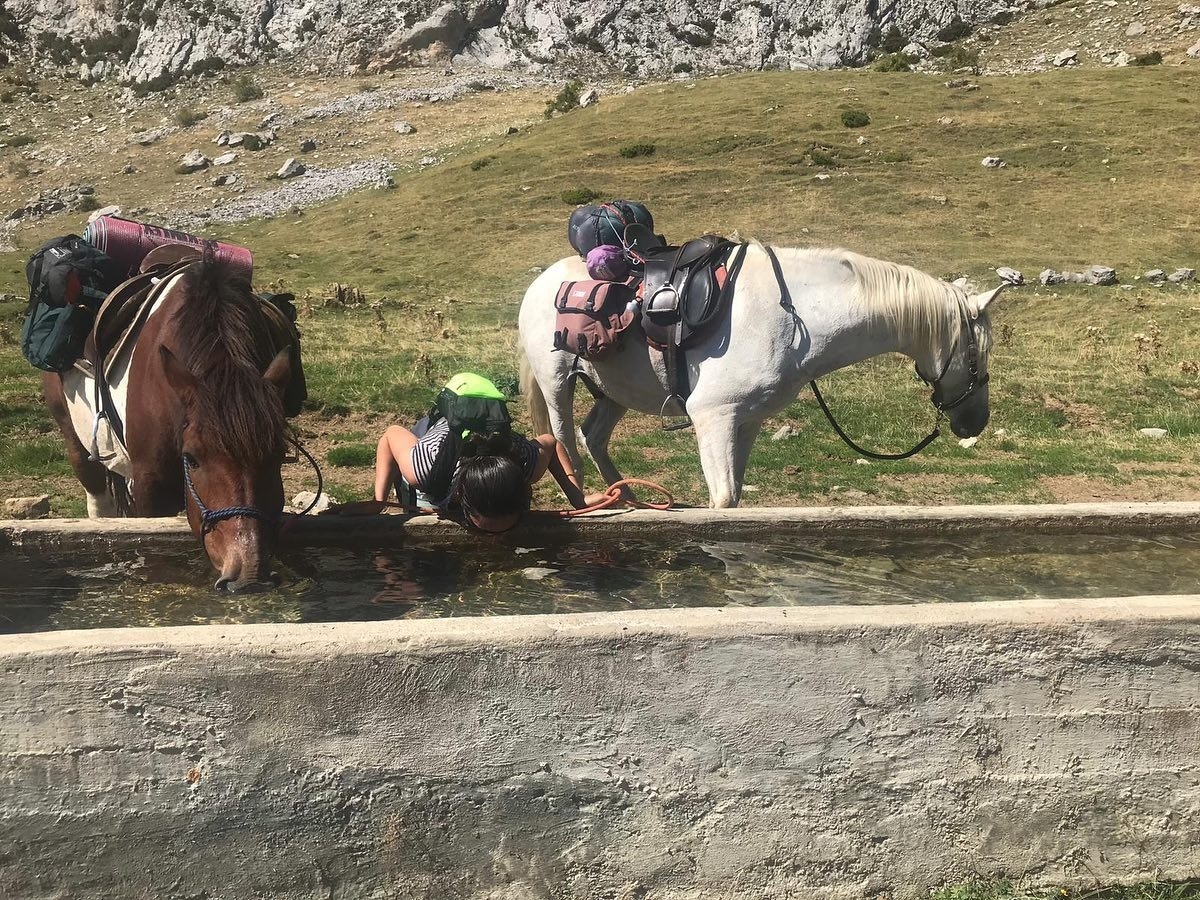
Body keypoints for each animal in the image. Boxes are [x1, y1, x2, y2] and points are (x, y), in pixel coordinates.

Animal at [516, 241, 1003, 508]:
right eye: (977, 355)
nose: (975, 422)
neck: (794, 316)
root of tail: (540, 283)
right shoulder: (712, 417)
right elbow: (721, 499)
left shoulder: (746, 420)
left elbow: (735, 499)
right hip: (557, 382)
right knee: (565, 444)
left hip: (614, 391)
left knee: (593, 436)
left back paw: (631, 498)